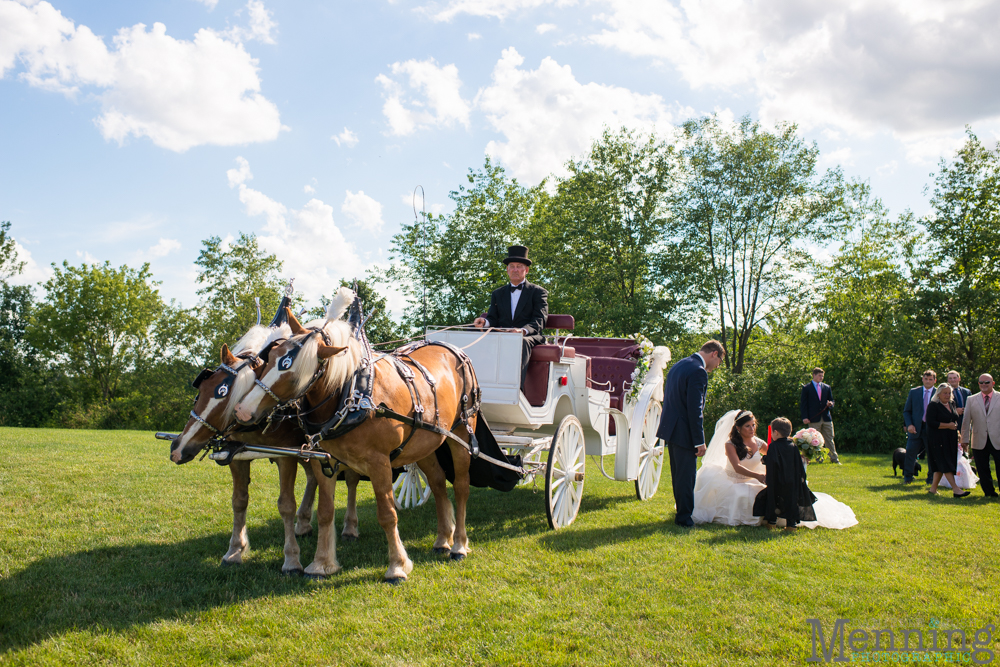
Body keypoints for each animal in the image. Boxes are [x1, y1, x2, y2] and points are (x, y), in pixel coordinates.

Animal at [236, 290, 482, 580]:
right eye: (271, 357)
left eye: (292, 370)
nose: (242, 410)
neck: (353, 395)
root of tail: (451, 348)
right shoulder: (324, 460)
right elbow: (325, 511)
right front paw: (321, 564)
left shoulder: (379, 463)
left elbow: (387, 514)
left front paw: (397, 566)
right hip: (425, 442)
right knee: (438, 483)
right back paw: (443, 539)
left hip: (462, 433)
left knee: (462, 486)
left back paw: (459, 544)